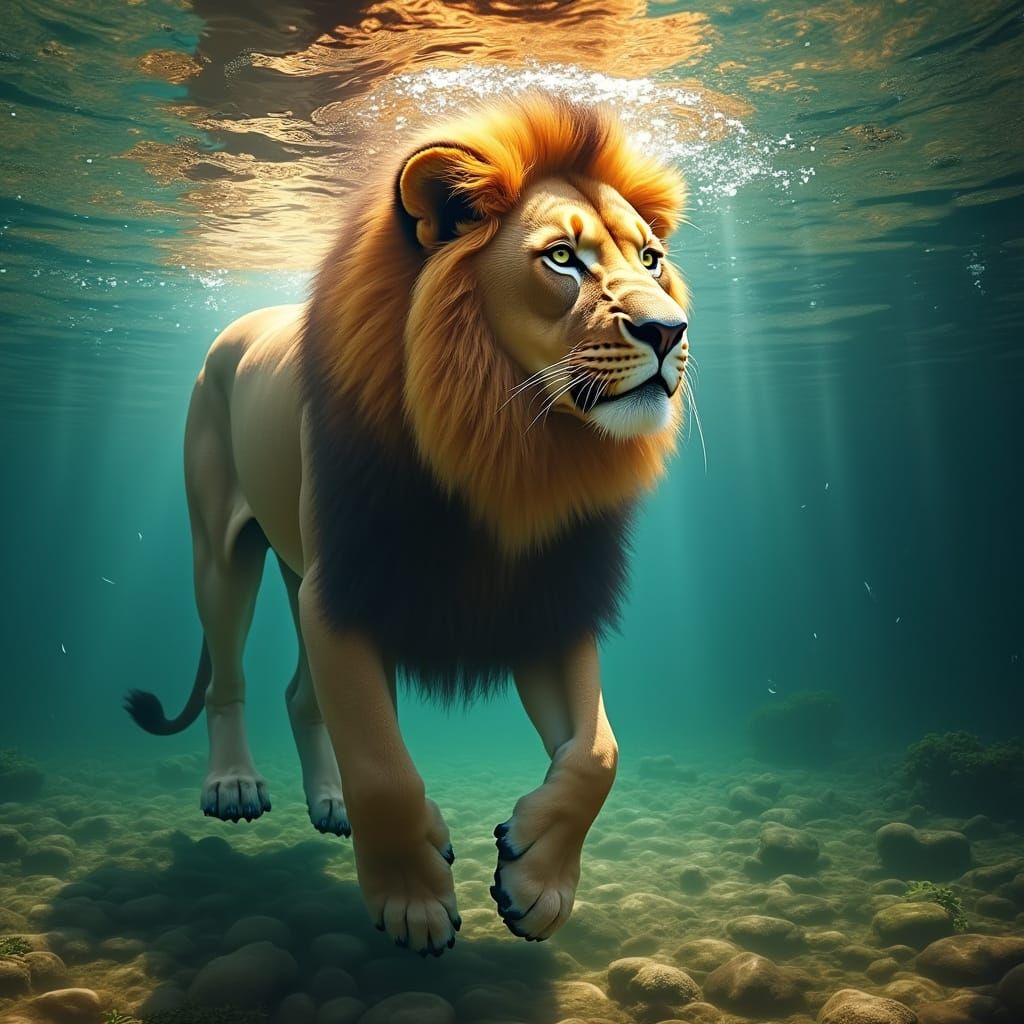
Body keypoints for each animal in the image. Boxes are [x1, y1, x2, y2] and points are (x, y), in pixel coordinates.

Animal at [126, 92, 690, 956]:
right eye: (562, 258)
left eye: (652, 258)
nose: (669, 333)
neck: (510, 448)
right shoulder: (350, 590)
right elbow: (382, 763)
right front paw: (414, 902)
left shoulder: (547, 600)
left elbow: (599, 751)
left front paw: (537, 880)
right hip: (222, 552)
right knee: (229, 676)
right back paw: (234, 785)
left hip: (299, 567)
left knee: (299, 694)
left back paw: (328, 805)